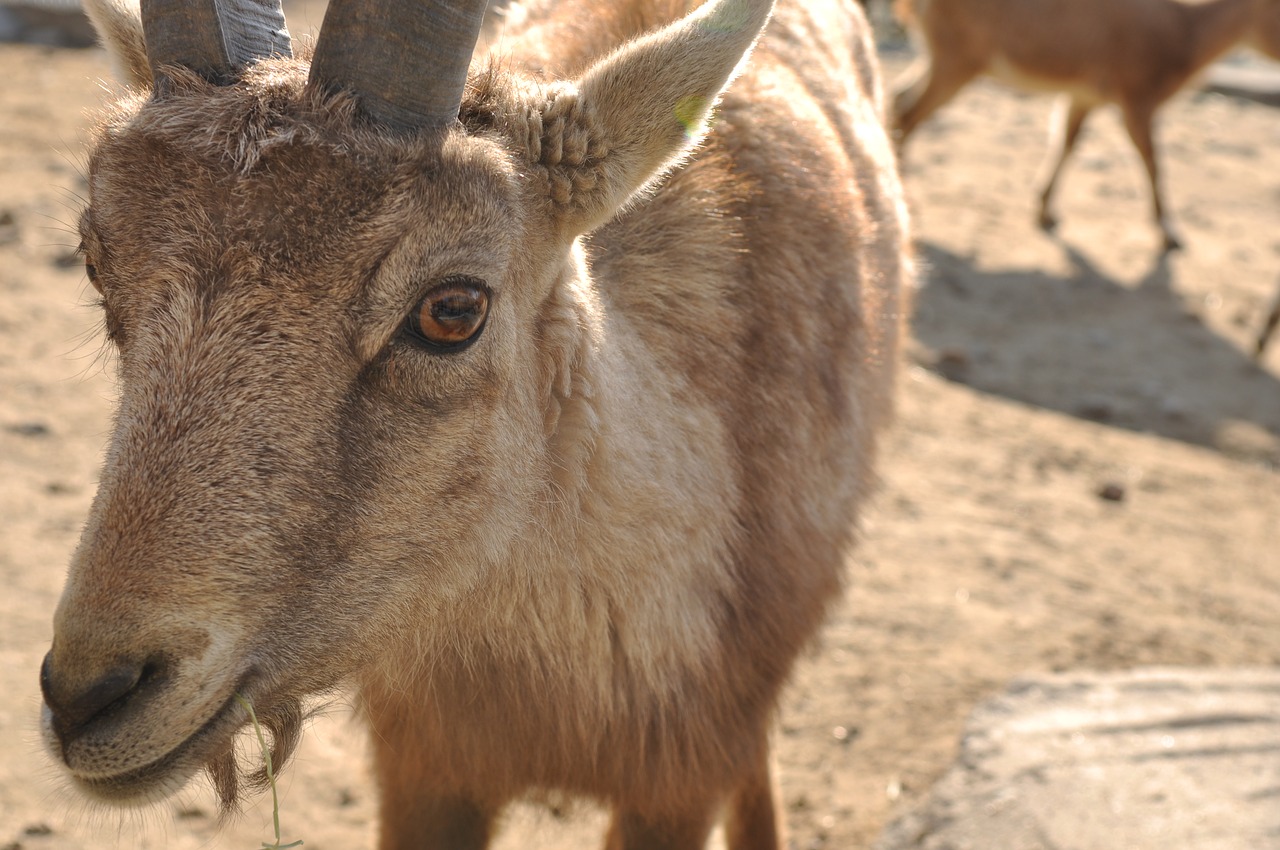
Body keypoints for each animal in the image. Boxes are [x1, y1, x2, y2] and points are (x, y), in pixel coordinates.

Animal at [896, 0, 1280, 249]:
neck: (1183, 34)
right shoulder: (1135, 95)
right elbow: (1152, 159)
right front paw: (1169, 233)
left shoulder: (1085, 95)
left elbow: (1067, 140)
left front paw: (1045, 212)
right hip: (956, 59)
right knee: (907, 113)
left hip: (942, 57)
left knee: (899, 99)